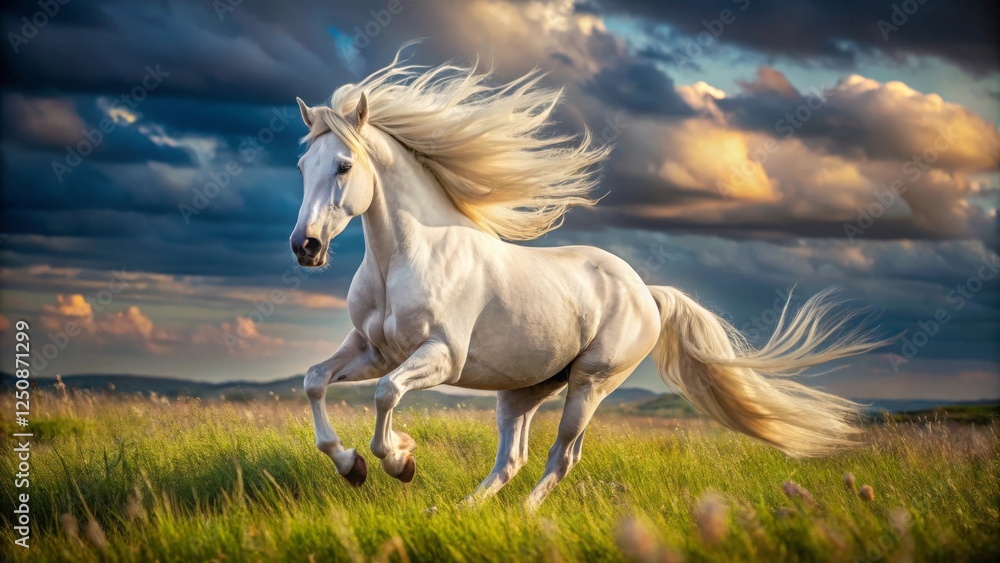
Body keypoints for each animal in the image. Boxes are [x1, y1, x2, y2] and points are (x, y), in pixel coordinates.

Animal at [290, 53, 881, 510]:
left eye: (344, 166)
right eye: (301, 166)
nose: (306, 247)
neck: (406, 258)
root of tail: (648, 293)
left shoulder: (440, 357)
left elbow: (387, 395)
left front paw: (399, 459)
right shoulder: (373, 350)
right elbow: (316, 381)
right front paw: (352, 465)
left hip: (590, 384)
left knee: (562, 455)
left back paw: (525, 516)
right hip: (524, 389)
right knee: (512, 458)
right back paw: (458, 511)